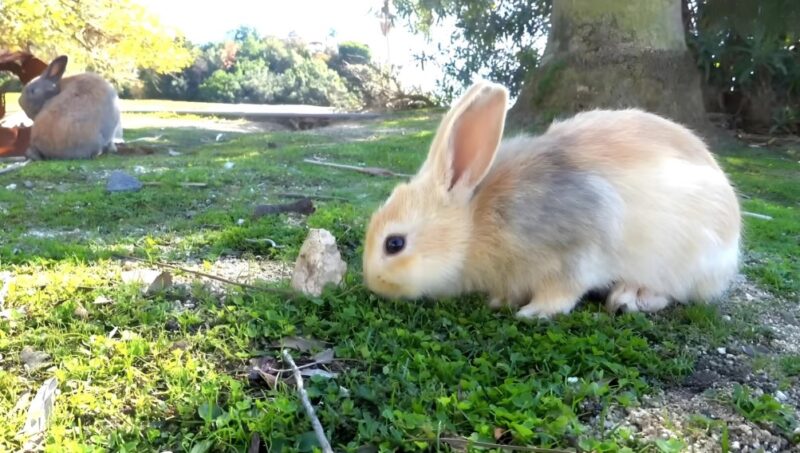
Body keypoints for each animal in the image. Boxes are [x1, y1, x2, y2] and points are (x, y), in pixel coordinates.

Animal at [362, 82, 744, 322]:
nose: (372, 283)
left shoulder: (575, 251)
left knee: (673, 293)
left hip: (685, 263)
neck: (474, 226)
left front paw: (534, 312)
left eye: (394, 244)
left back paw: (629, 297)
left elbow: (563, 291)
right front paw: (502, 300)